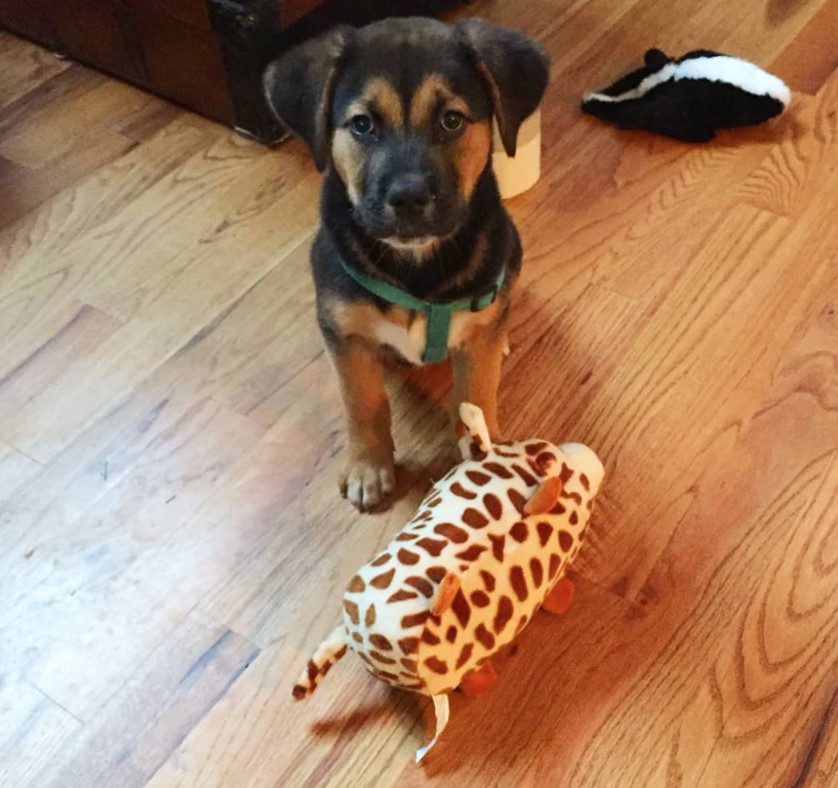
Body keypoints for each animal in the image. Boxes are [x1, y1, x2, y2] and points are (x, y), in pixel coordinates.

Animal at [264, 18, 552, 516]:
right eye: (362, 125)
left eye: (451, 120)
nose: (408, 198)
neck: (416, 267)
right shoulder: (344, 333)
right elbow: (363, 403)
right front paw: (369, 468)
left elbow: (476, 393)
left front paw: (487, 459)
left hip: (511, 248)